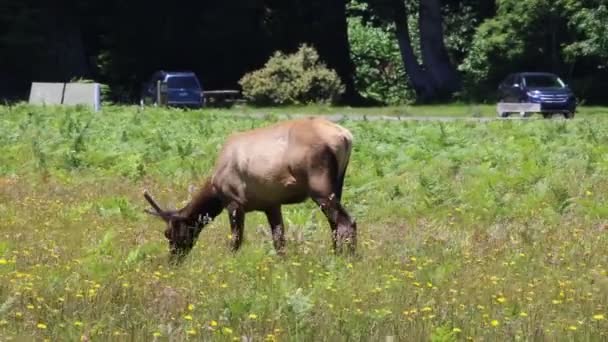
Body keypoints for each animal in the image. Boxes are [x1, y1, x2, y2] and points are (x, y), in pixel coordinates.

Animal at [144, 117, 356, 262]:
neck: (215, 188)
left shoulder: (234, 201)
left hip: (320, 187)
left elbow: (236, 240)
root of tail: (345, 136)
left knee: (347, 221)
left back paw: (347, 261)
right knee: (335, 224)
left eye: (168, 234)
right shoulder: (272, 204)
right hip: (337, 185)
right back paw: (336, 255)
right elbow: (279, 240)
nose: (173, 260)